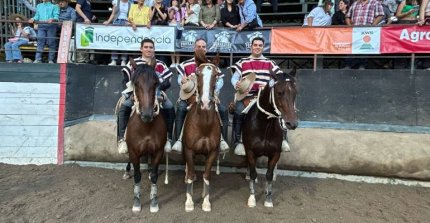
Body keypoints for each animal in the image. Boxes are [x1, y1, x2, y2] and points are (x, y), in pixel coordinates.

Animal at [126, 58, 166, 213]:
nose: (147, 114)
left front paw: (154, 201)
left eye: (155, 83)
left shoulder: (158, 151)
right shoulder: (133, 151)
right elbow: (137, 175)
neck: (146, 126)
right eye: (136, 83)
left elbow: (154, 175)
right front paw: (136, 201)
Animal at [244, 69, 298, 208]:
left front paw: (268, 198)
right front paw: (252, 198)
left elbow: (269, 174)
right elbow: (253, 172)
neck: (265, 126)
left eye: (295, 93)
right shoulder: (250, 151)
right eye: (279, 92)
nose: (292, 123)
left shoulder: (275, 154)